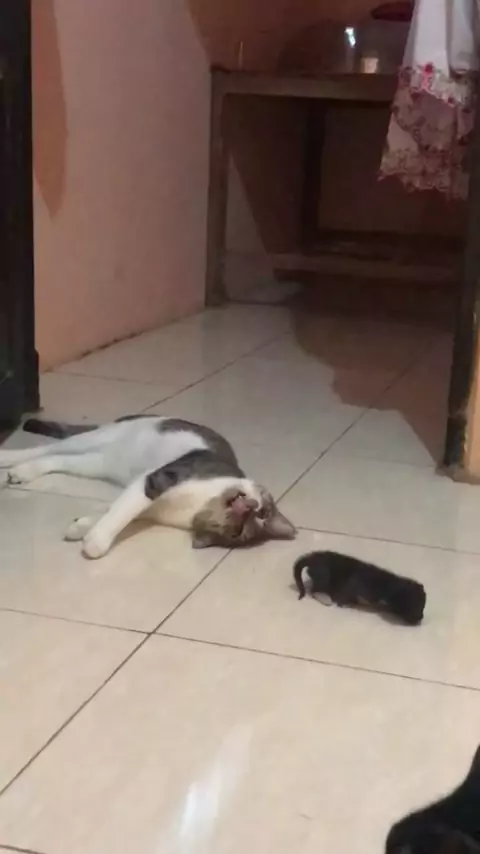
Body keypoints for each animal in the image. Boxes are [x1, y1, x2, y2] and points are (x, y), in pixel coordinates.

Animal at [0, 416, 296, 559]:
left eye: (239, 530)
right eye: (261, 513)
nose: (250, 506)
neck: (196, 506)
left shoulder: (148, 500)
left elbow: (115, 510)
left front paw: (81, 526)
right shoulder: (157, 479)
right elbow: (120, 513)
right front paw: (95, 543)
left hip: (98, 462)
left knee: (56, 459)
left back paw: (22, 472)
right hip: (98, 438)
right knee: (48, 447)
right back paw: (7, 458)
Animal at [293, 551, 426, 625]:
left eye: (423, 606)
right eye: (413, 608)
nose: (421, 618)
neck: (389, 585)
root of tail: (312, 557)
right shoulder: (355, 585)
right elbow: (345, 594)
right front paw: (344, 603)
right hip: (324, 575)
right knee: (314, 589)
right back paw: (325, 597)